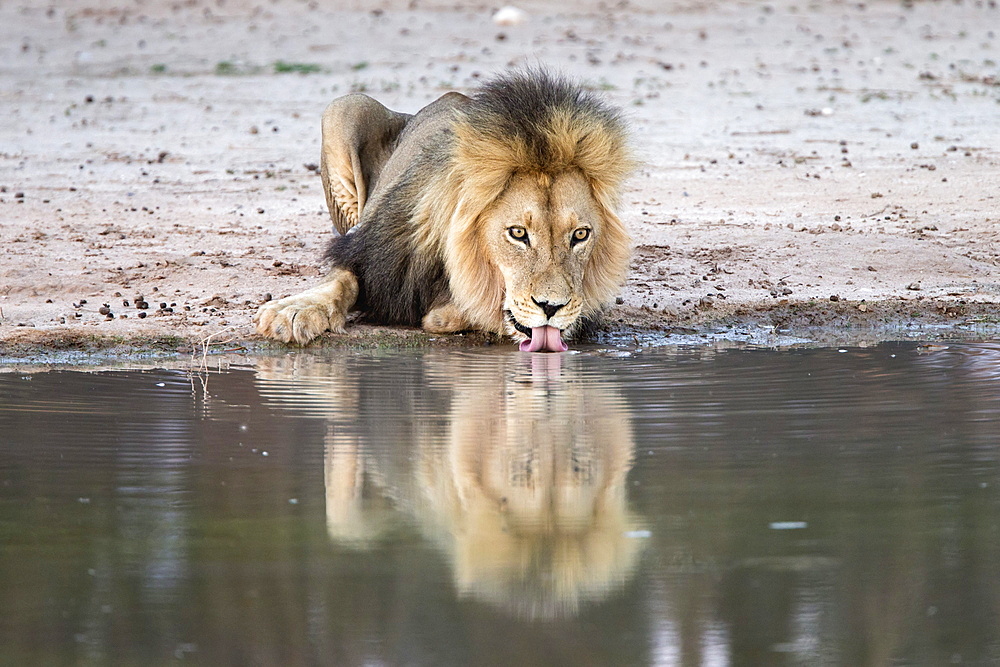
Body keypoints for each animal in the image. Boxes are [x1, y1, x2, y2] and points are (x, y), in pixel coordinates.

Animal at [256, 70, 632, 352]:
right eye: (518, 234)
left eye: (580, 235)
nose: (552, 307)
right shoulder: (369, 254)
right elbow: (339, 281)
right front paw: (293, 311)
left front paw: (449, 313)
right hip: (345, 108)